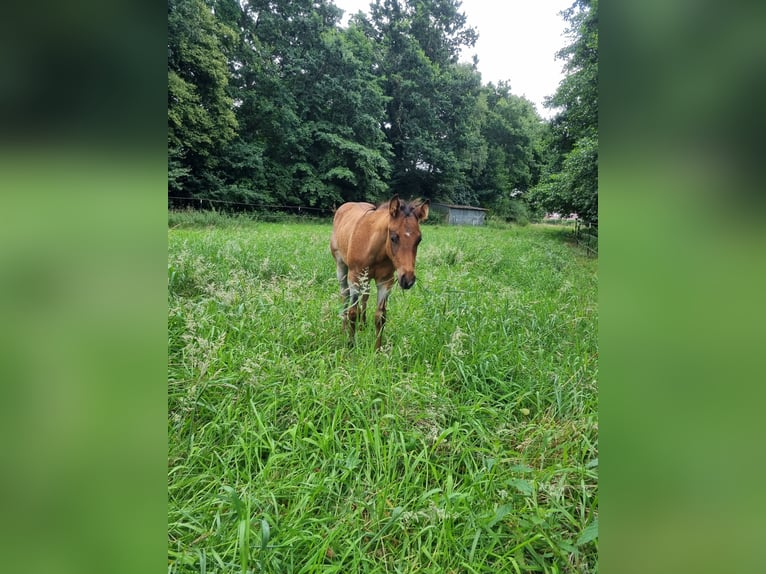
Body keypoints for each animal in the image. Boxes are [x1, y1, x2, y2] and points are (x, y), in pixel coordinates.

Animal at [330, 195, 429, 350]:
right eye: (393, 237)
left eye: (419, 239)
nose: (408, 280)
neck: (374, 247)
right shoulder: (355, 277)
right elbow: (353, 312)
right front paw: (351, 344)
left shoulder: (385, 281)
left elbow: (380, 317)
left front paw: (377, 349)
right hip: (341, 267)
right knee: (345, 296)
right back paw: (344, 328)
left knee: (365, 296)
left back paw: (362, 325)